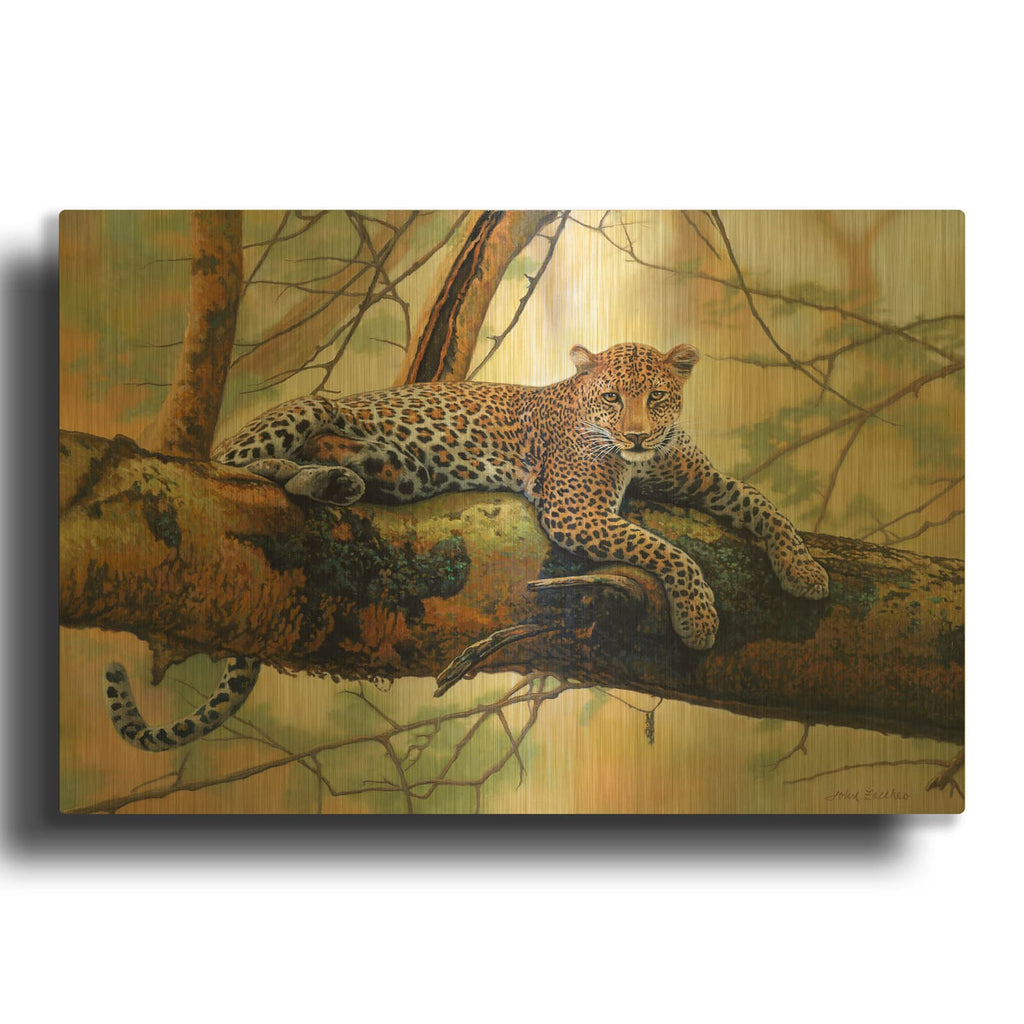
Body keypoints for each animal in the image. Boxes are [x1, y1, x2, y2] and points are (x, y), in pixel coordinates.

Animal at [105, 341, 829, 750]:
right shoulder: (576, 510)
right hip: (301, 410)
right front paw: (699, 616)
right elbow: (670, 550)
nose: (637, 436)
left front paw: (806, 572)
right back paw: (310, 474)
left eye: (656, 396)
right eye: (610, 397)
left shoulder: (699, 481)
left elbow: (760, 502)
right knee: (232, 471)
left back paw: (337, 476)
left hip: (392, 468)